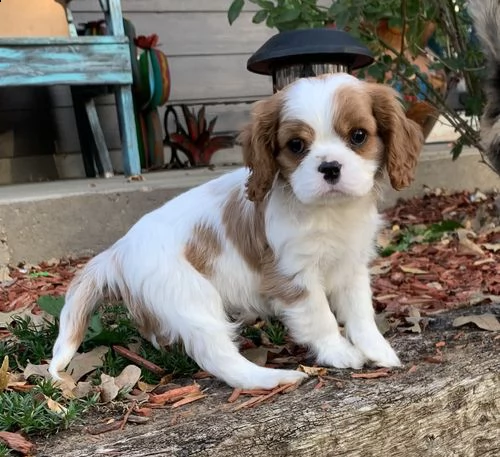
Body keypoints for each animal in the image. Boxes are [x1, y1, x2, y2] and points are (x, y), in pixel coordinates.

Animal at [48, 75, 424, 388]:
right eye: (296, 145)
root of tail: (118, 250)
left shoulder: (351, 265)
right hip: (190, 297)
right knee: (216, 355)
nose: (330, 167)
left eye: (358, 136)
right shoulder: (293, 275)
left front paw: (378, 350)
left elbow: (360, 312)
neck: (330, 213)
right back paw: (274, 378)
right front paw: (339, 352)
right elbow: (320, 317)